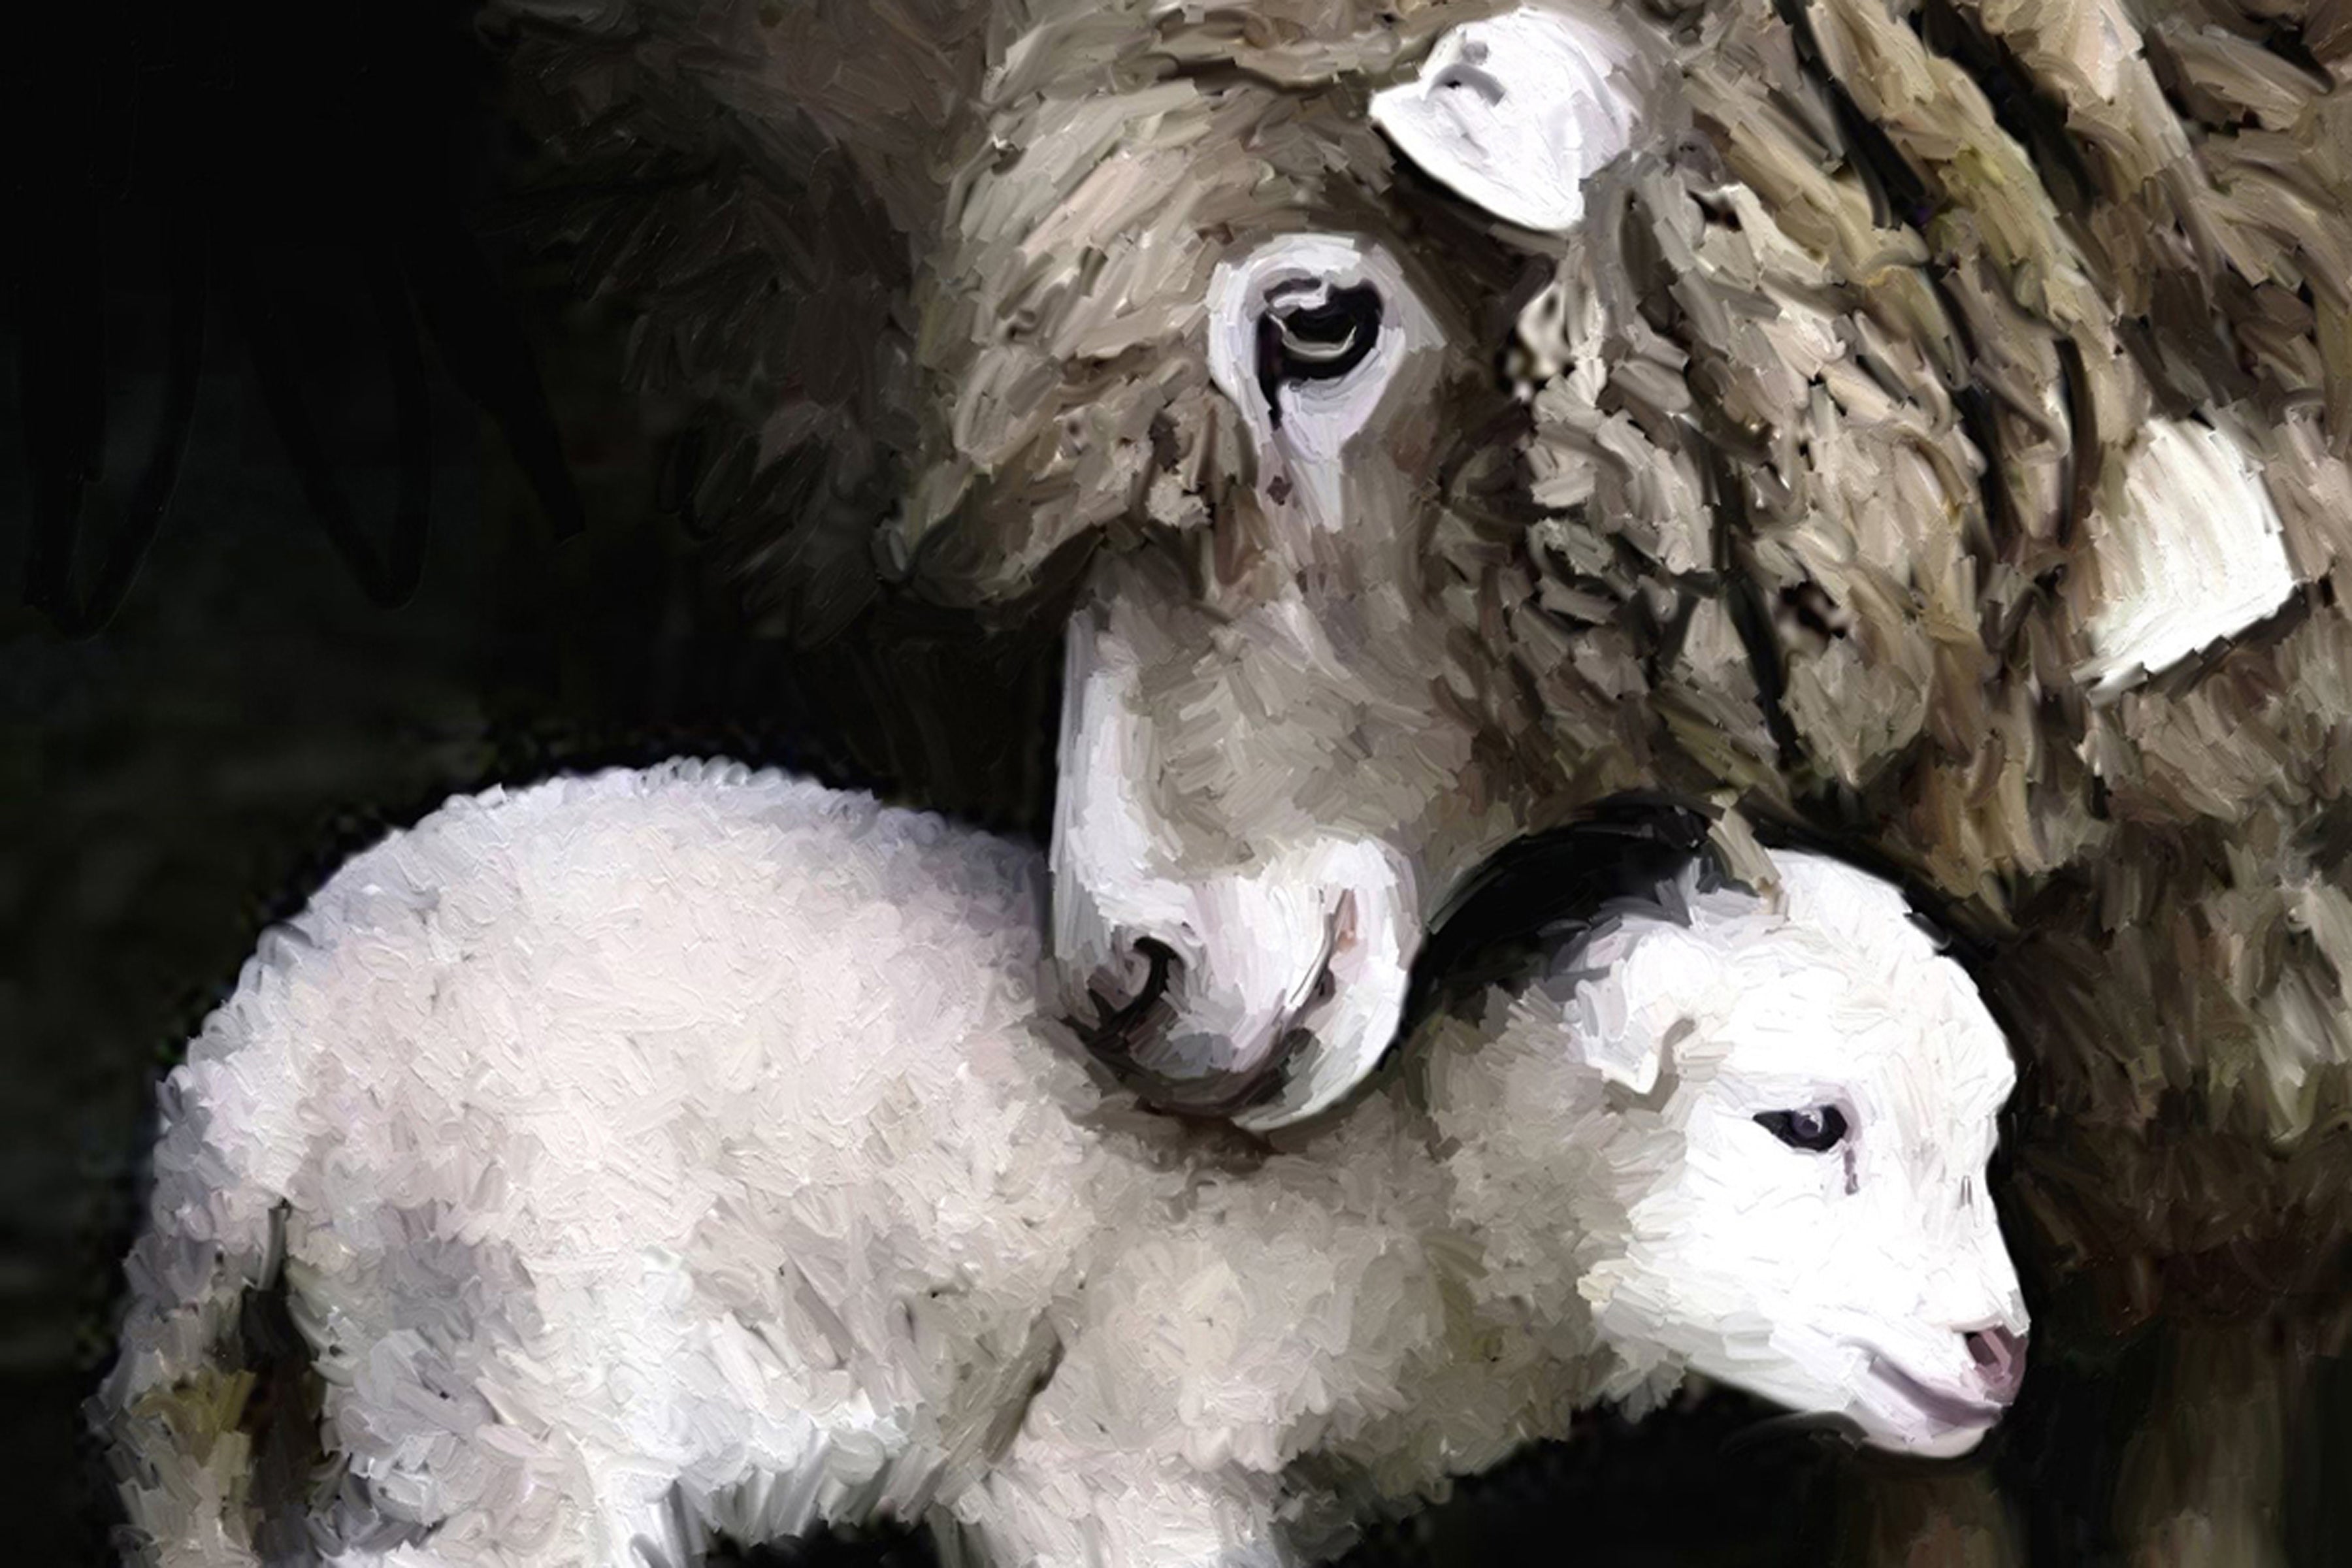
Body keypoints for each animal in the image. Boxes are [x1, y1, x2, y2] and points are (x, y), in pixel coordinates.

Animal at [93, 761, 2029, 1568]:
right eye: (1804, 1124)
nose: (1999, 1353)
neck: (1414, 1196)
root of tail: (256, 1062)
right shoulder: (1119, 1459)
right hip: (512, 1368)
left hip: (314, 1401)